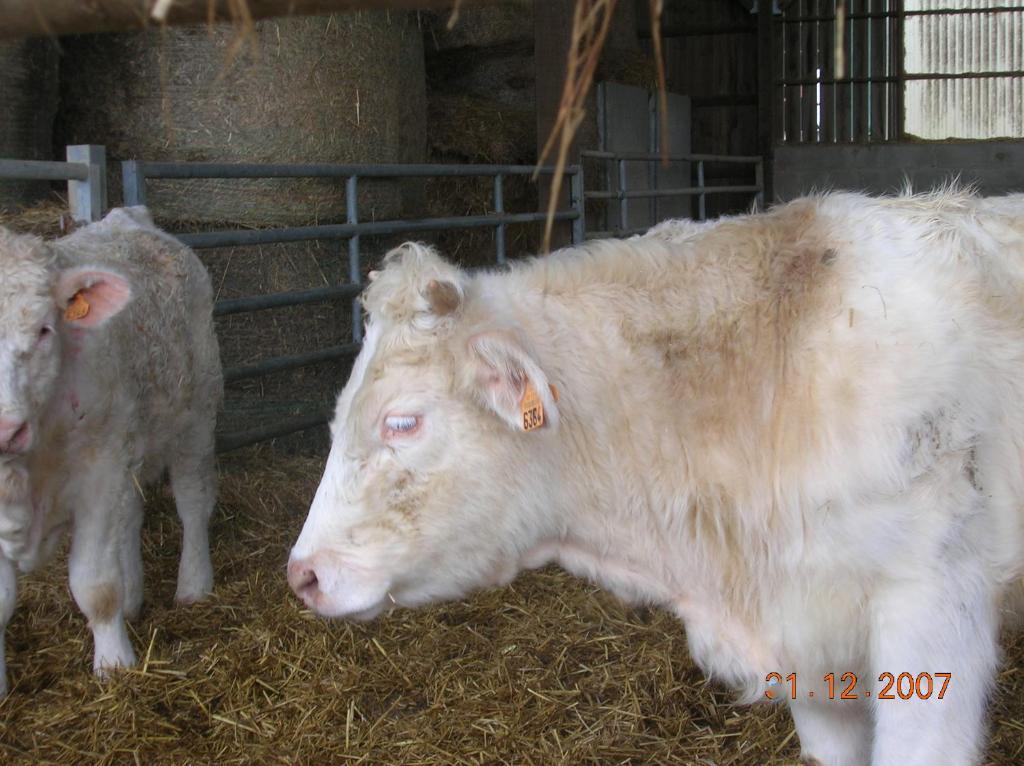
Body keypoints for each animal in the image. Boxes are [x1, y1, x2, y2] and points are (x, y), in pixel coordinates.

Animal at [0, 207, 223, 692]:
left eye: (44, 329)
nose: (6, 429)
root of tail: (127, 215)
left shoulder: (99, 473)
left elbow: (96, 584)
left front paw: (115, 664)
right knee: (130, 519)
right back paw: (134, 598)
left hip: (196, 416)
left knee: (193, 504)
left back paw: (193, 587)